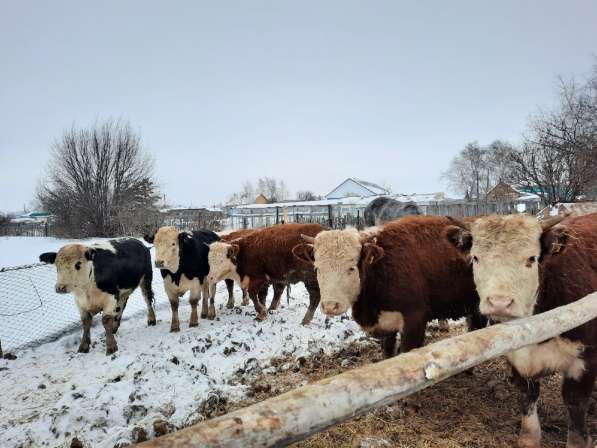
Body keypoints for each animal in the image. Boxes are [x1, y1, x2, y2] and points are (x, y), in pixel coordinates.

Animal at [292, 216, 484, 356]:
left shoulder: (414, 322)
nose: (331, 306)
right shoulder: (386, 328)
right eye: (317, 268)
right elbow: (388, 355)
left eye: (352, 267)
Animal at [448, 214, 596, 448]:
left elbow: (575, 403)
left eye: (531, 259)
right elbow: (527, 395)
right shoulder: (516, 358)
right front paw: (529, 437)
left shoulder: (585, 359)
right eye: (476, 258)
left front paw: (578, 442)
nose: (499, 303)